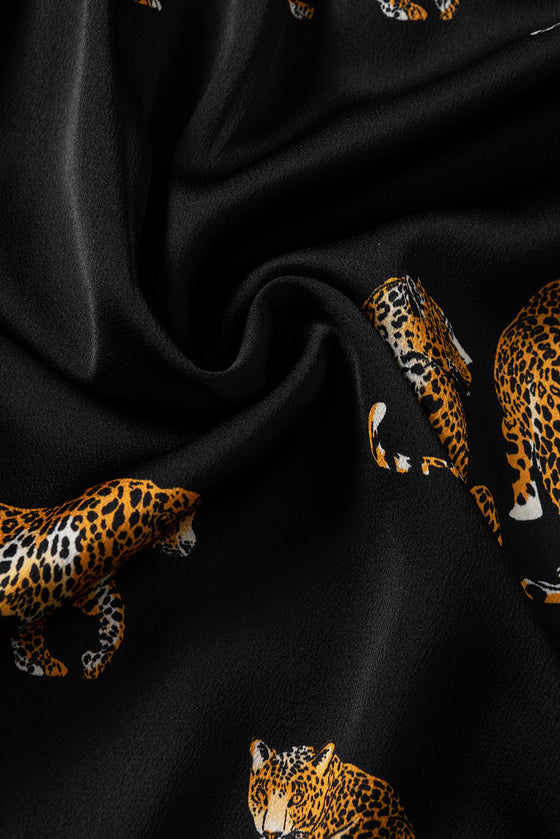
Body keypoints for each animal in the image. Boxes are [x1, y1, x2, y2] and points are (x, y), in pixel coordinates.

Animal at [0, 478, 200, 679]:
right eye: (176, 524)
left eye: (191, 520)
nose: (190, 545)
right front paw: (41, 662)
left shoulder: (95, 588)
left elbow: (115, 618)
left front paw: (96, 659)